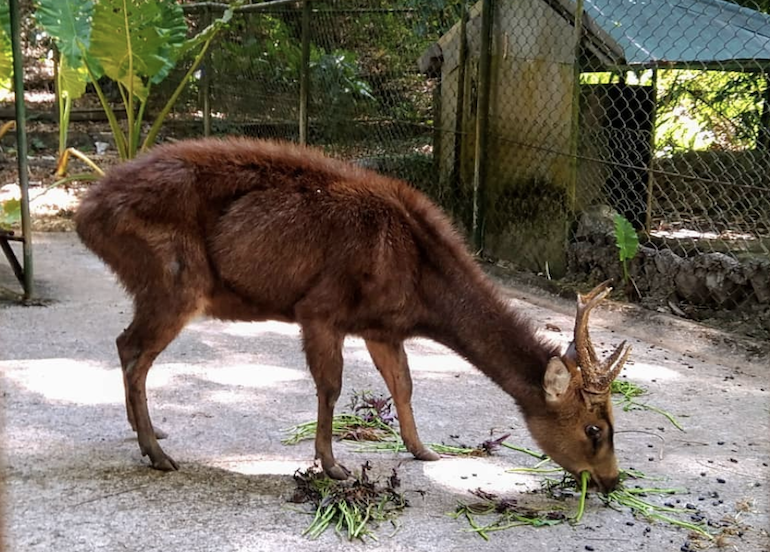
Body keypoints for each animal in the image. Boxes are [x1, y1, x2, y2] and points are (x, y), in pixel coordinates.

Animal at [75, 137, 632, 492]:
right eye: (595, 429)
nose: (611, 481)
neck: (421, 286)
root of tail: (84, 214)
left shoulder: (381, 328)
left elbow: (403, 385)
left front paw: (423, 451)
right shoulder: (322, 308)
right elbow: (331, 387)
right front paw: (332, 466)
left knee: (126, 347)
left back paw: (148, 434)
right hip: (174, 278)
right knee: (133, 349)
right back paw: (157, 453)